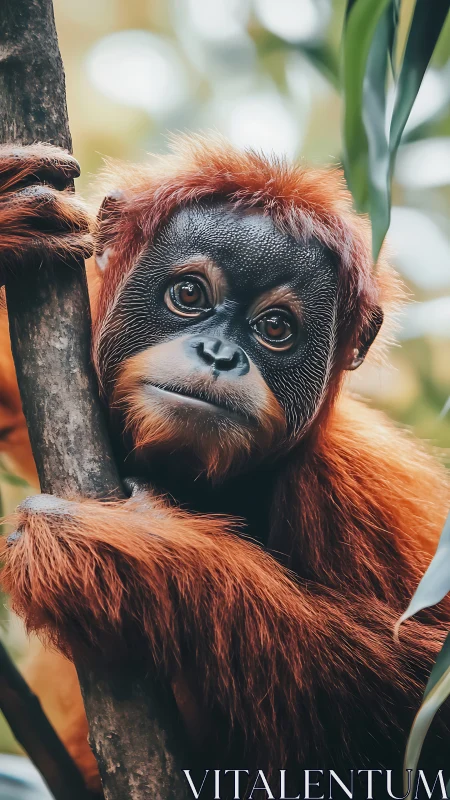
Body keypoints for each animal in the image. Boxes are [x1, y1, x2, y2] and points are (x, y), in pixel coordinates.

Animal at [0, 135, 449, 797]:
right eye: (189, 295)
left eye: (276, 329)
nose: (218, 354)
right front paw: (7, 216)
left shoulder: (360, 495)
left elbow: (426, 698)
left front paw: (128, 554)